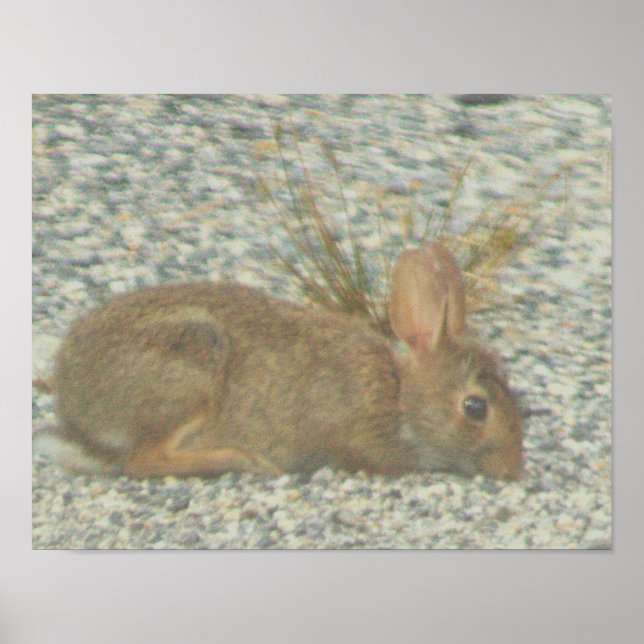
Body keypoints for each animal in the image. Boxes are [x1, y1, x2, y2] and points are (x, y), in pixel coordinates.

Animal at [35, 242, 523, 480]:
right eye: (475, 407)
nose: (512, 471)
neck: (399, 396)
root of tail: (76, 415)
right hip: (188, 373)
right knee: (143, 461)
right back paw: (241, 460)